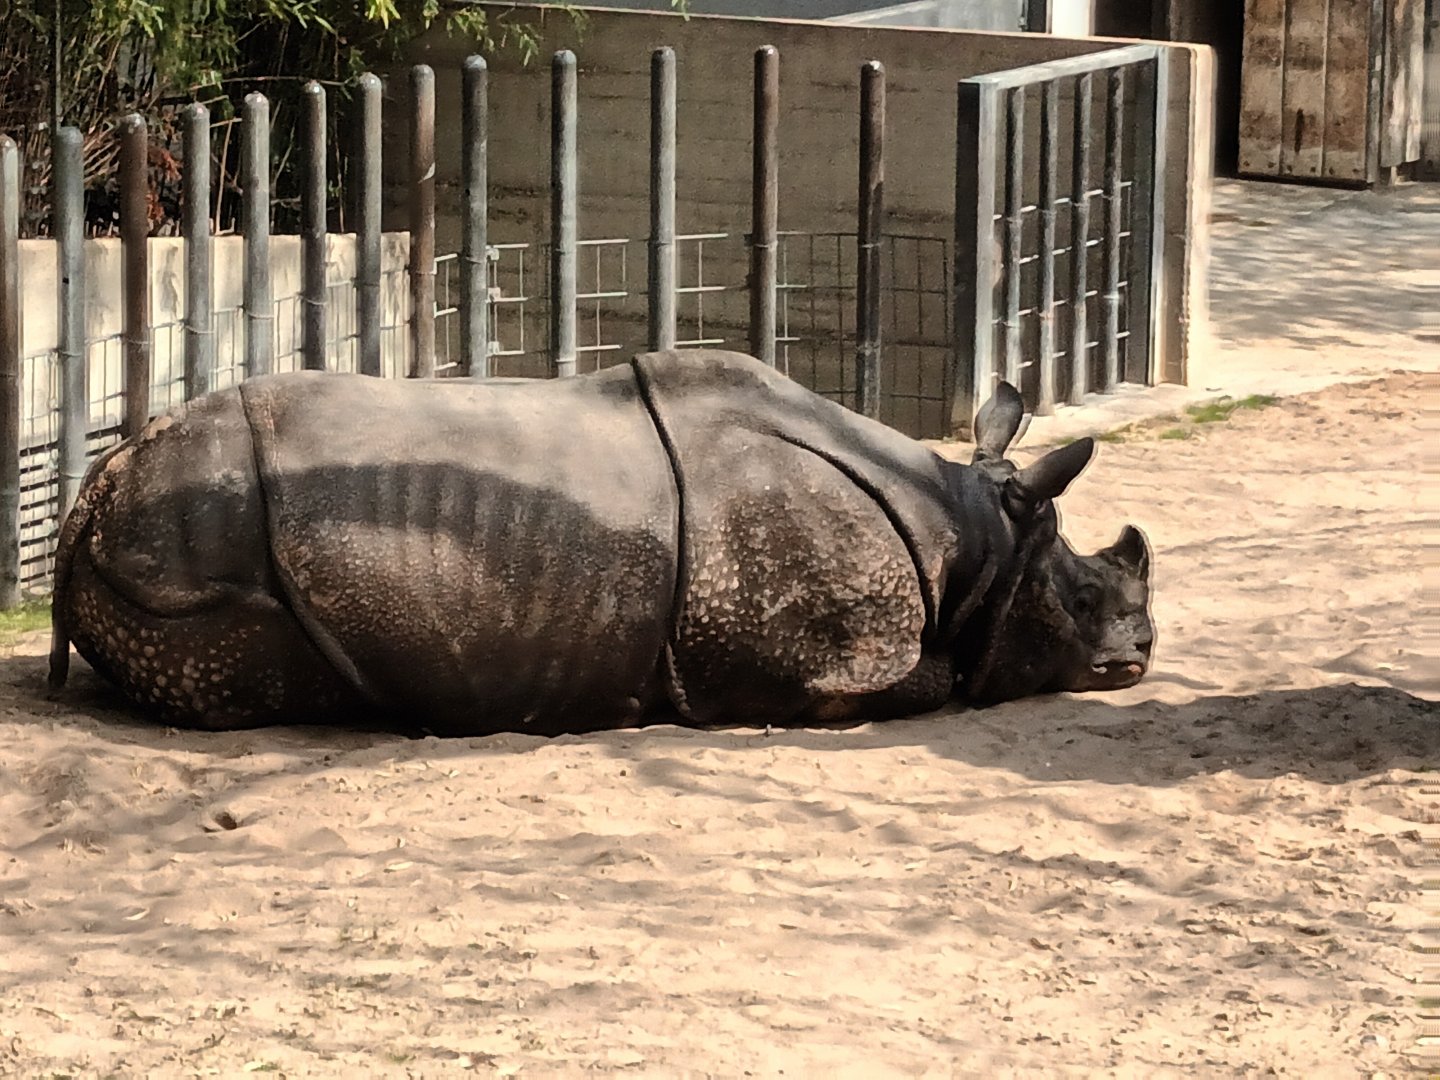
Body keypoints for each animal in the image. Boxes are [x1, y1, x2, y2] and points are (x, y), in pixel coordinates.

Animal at [47, 349, 1152, 736]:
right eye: (1081, 601)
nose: (1143, 655)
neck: (973, 541)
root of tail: (89, 492)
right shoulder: (818, 658)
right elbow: (939, 680)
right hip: (190, 548)